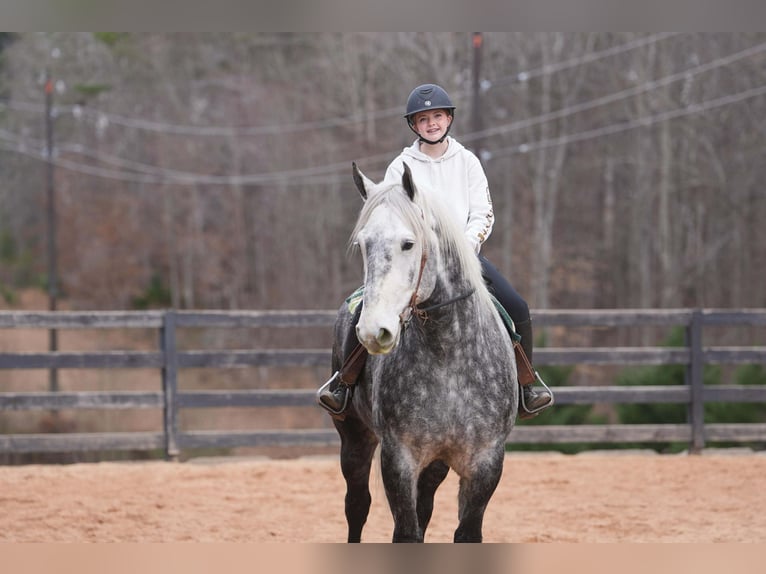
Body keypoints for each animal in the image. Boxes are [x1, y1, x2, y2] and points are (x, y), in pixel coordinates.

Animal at [328, 162, 518, 543]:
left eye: (408, 243)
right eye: (363, 244)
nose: (373, 331)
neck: (448, 353)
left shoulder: (486, 462)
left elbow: (464, 532)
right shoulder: (398, 458)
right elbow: (406, 531)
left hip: (437, 460)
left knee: (425, 506)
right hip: (354, 436)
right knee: (357, 505)